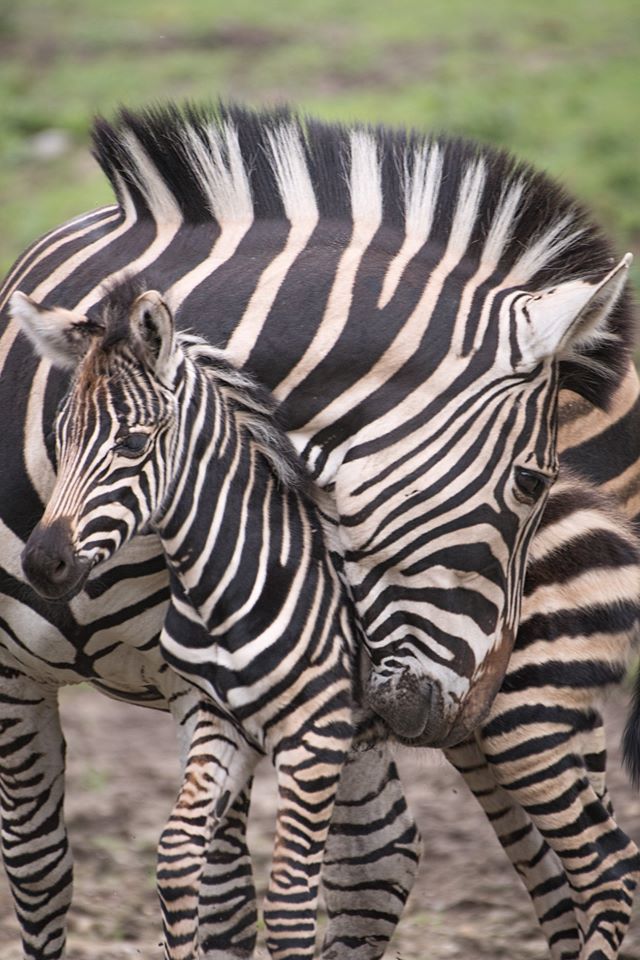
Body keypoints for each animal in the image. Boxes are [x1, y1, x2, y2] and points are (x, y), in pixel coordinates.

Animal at [13, 280, 360, 960]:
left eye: (131, 444)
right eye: (60, 437)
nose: (42, 565)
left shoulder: (316, 730)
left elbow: (288, 905)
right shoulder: (222, 717)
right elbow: (178, 856)